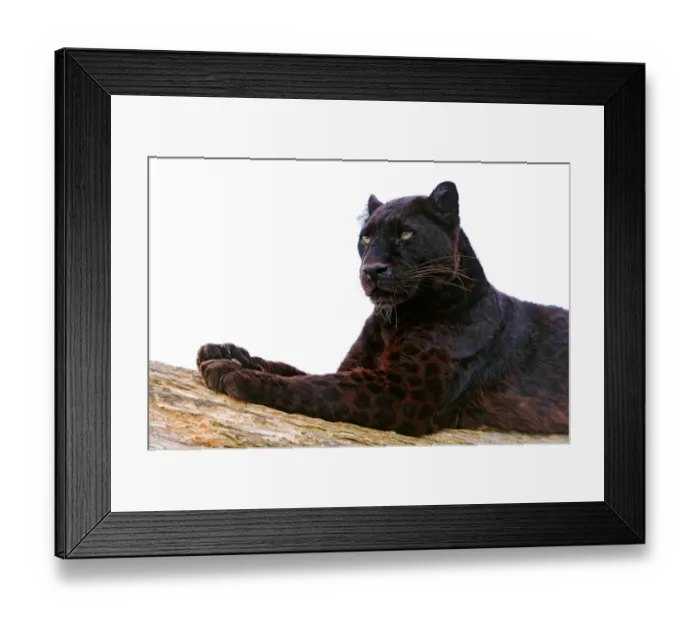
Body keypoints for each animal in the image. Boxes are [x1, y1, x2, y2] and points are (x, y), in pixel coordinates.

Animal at [196, 181, 569, 437]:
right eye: (365, 237)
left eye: (405, 234)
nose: (372, 269)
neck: (394, 320)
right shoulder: (359, 366)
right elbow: (291, 369)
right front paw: (223, 352)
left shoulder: (404, 391)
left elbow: (316, 387)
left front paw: (232, 372)